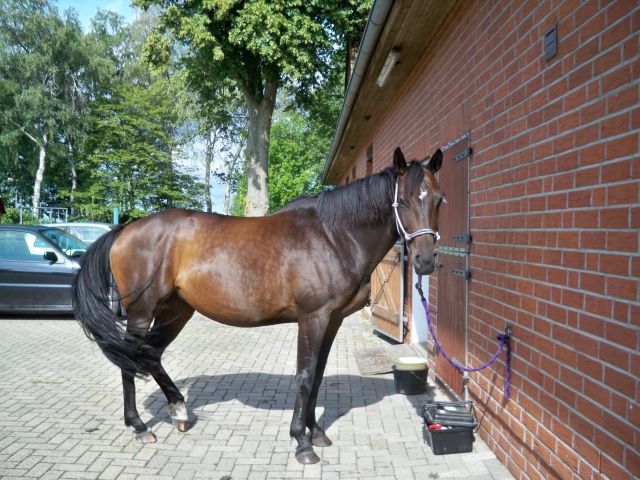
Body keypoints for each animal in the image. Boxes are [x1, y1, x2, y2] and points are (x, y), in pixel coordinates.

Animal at [72, 146, 444, 464]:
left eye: (438, 199)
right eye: (403, 200)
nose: (425, 262)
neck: (333, 236)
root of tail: (125, 230)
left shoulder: (333, 320)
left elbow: (318, 376)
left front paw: (316, 432)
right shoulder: (313, 318)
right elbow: (306, 376)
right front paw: (302, 443)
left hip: (176, 311)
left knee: (150, 354)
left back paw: (179, 410)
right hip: (140, 312)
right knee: (130, 360)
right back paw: (139, 427)